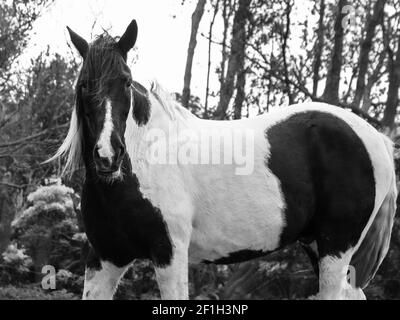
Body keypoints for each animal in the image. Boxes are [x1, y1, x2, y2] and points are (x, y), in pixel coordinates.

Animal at [51, 19, 398, 300]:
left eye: (125, 80)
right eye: (84, 84)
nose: (107, 155)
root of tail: (377, 138)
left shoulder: (169, 254)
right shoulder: (105, 257)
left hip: (335, 248)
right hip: (317, 246)